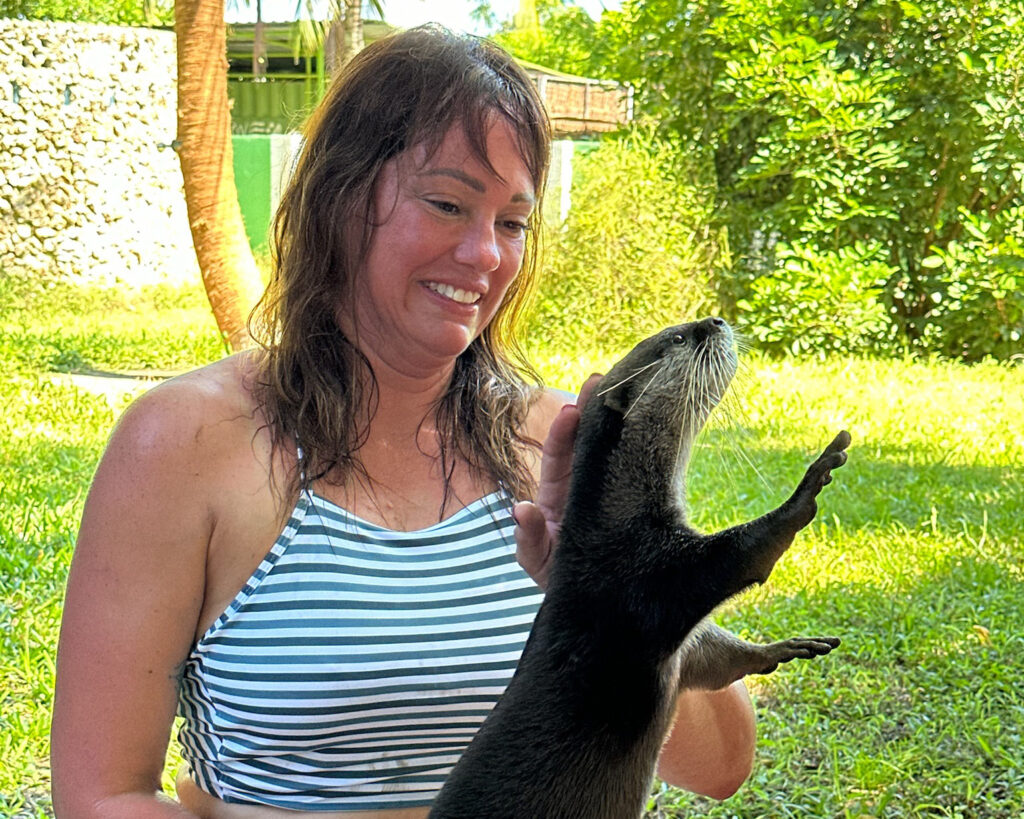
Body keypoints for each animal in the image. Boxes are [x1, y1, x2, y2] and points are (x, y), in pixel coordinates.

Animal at [429, 317, 850, 819]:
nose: (715, 321)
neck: (614, 522)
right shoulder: (643, 577)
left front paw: (783, 648)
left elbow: (718, 660)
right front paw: (810, 485)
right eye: (678, 338)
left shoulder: (683, 647)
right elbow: (743, 555)